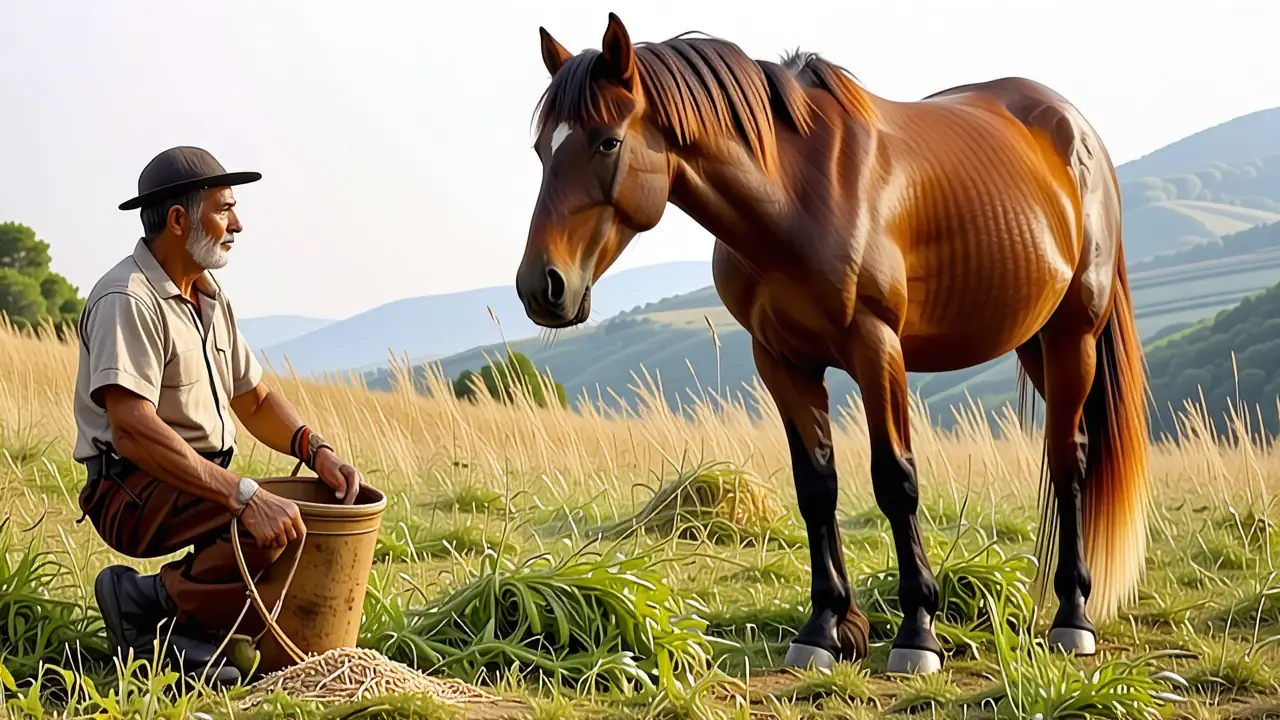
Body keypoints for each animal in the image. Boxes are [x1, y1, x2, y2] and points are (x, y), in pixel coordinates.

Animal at [515, 13, 1150, 675]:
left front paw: (917, 632)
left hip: (1074, 335)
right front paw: (824, 627)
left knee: (1070, 460)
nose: (542, 287)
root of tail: (1075, 128)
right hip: (1034, 339)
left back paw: (1072, 618)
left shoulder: (877, 348)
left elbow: (895, 481)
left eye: (607, 142)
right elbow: (816, 487)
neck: (797, 198)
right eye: (541, 149)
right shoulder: (781, 359)